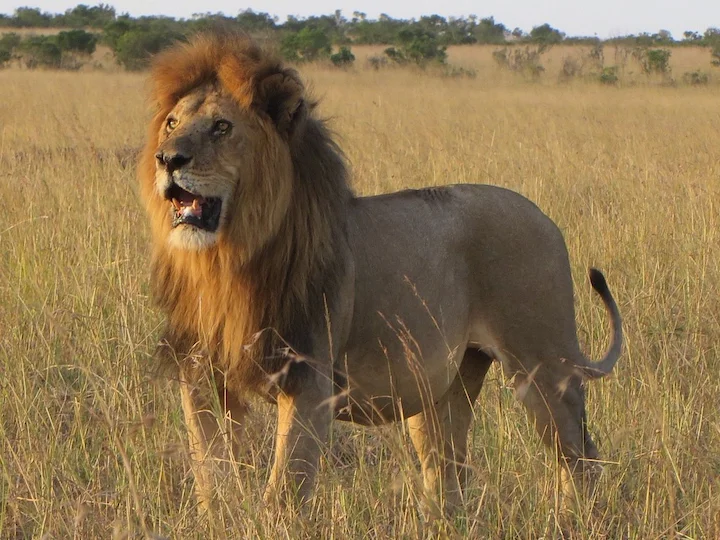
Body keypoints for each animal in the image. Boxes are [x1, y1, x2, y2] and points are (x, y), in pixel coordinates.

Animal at [139, 33, 622, 514]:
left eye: (222, 127)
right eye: (171, 123)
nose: (167, 159)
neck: (226, 260)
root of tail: (546, 219)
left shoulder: (308, 380)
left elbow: (286, 488)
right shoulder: (200, 374)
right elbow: (210, 471)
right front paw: (218, 516)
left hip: (544, 367)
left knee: (580, 457)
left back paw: (576, 519)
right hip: (448, 385)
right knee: (448, 471)